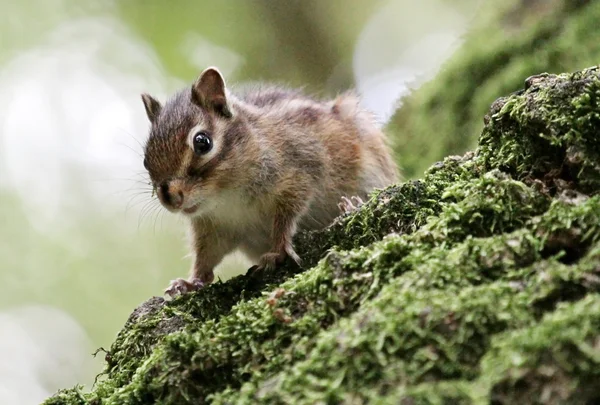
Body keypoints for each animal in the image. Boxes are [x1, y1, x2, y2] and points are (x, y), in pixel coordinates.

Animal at [141, 65, 398, 294]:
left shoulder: (299, 174)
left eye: (202, 142)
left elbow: (286, 217)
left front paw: (279, 250)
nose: (170, 197)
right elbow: (206, 256)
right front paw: (191, 282)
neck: (226, 196)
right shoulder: (213, 226)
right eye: (145, 160)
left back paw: (351, 205)